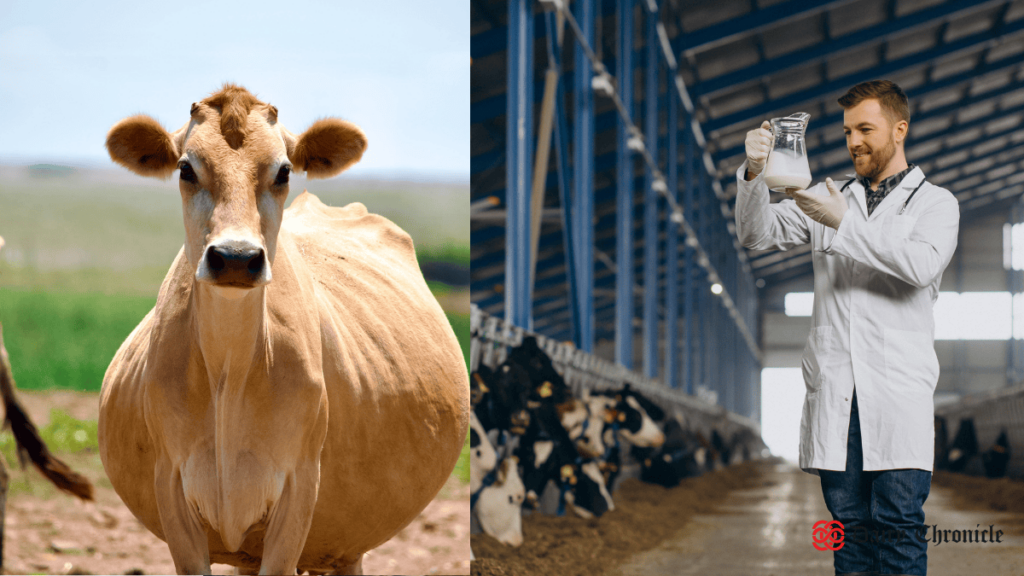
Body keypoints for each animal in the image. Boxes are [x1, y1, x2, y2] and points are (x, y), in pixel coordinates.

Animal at [99, 85, 468, 573]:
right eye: (186, 168)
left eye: (284, 170)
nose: (236, 258)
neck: (228, 373)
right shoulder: (172, 489)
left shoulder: (299, 488)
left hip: (348, 541)